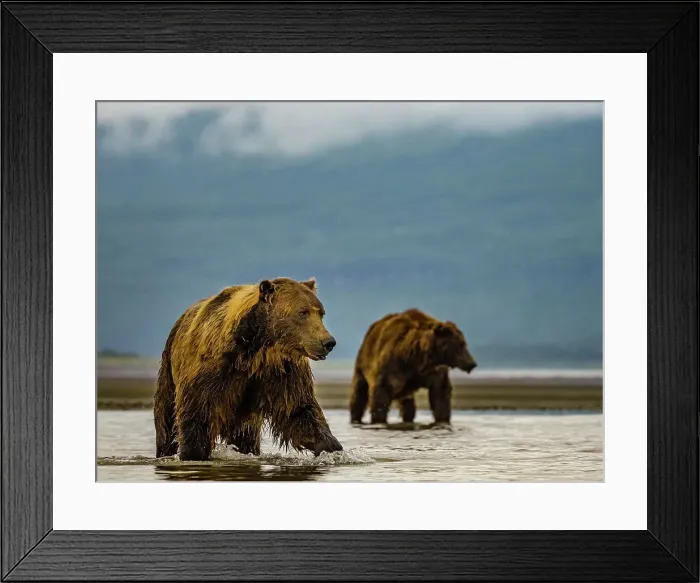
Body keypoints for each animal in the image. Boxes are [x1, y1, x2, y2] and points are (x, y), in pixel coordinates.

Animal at [154, 277, 343, 461]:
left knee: (245, 437)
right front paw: (193, 453)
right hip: (168, 370)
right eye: (303, 312)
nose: (328, 342)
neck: (255, 354)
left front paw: (331, 448)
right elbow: (198, 413)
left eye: (320, 313)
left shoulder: (282, 373)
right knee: (166, 419)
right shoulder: (211, 372)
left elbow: (298, 411)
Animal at [349, 308, 477, 425]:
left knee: (408, 405)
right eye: (461, 344)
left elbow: (440, 393)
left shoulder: (434, 372)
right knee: (359, 392)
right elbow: (381, 394)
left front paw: (442, 420)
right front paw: (378, 420)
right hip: (362, 363)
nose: (472, 363)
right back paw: (355, 418)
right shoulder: (391, 369)